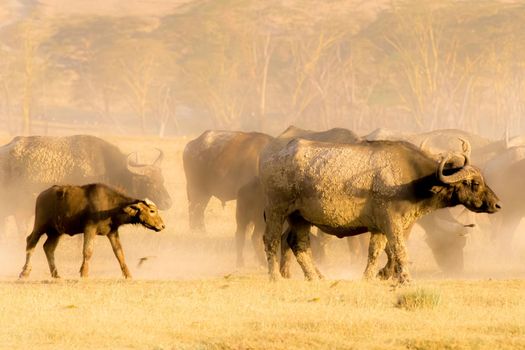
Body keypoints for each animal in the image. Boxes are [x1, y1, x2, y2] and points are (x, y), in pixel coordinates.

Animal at [19, 183, 165, 278]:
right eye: (152, 211)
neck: (110, 205)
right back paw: (25, 272)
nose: (162, 226)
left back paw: (56, 274)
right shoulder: (90, 228)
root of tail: (41, 195)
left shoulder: (112, 232)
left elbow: (119, 253)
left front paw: (128, 275)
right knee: (30, 242)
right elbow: (88, 251)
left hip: (56, 232)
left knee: (48, 248)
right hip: (40, 225)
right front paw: (84, 273)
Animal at [258, 138, 500, 284]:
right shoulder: (391, 222)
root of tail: (270, 158)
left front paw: (372, 276)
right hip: (276, 210)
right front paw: (404, 279)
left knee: (299, 244)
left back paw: (316, 277)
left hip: (300, 217)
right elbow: (399, 250)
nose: (497, 204)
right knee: (271, 240)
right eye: (474, 183)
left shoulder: (381, 227)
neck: (413, 179)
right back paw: (275, 277)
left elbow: (377, 251)